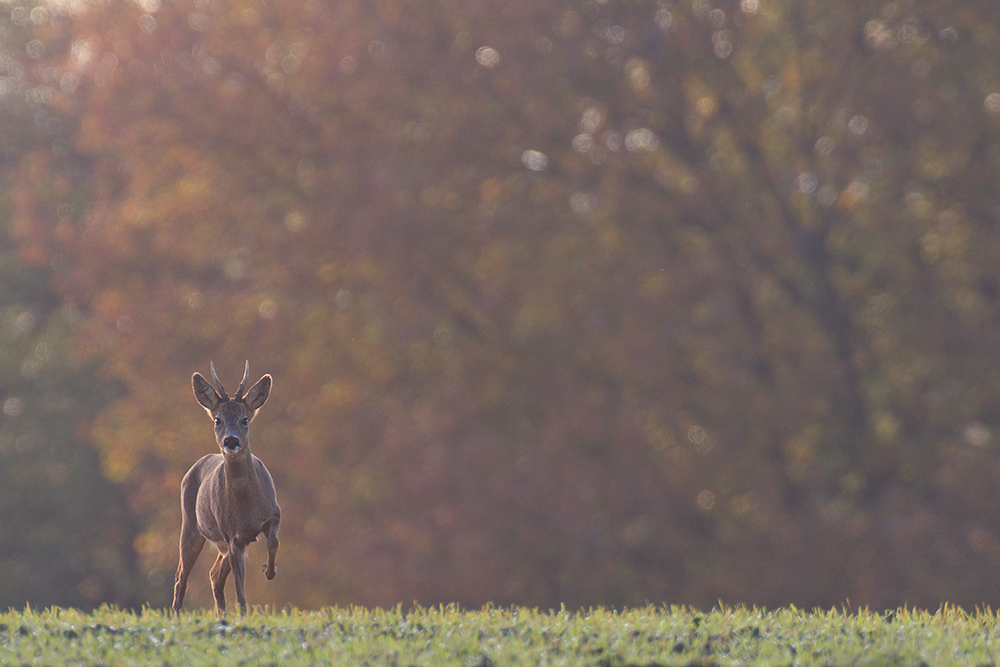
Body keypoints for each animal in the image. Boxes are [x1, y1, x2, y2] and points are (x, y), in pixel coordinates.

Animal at [172, 362, 280, 620]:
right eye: (218, 420)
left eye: (245, 419)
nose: (231, 441)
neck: (247, 505)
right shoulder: (232, 535)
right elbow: (240, 587)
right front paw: (243, 614)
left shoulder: (274, 514)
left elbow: (273, 543)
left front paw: (269, 571)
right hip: (191, 523)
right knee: (181, 576)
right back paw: (178, 617)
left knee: (214, 576)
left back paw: (221, 615)